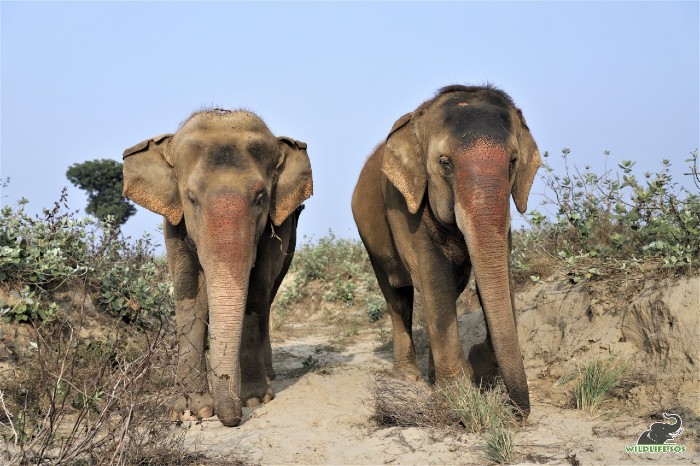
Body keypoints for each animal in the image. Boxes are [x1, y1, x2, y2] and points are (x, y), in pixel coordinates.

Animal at [121, 108, 314, 426]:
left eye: (260, 198)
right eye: (191, 198)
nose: (233, 419)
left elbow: (256, 290)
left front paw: (254, 399)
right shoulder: (174, 222)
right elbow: (189, 291)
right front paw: (190, 410)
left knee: (268, 295)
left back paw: (269, 377)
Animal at [350, 83, 540, 416]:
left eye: (512, 162)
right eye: (445, 164)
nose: (517, 413)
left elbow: (498, 273)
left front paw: (474, 371)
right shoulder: (403, 203)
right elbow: (434, 278)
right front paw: (457, 399)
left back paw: (431, 377)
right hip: (370, 238)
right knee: (398, 295)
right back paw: (409, 377)